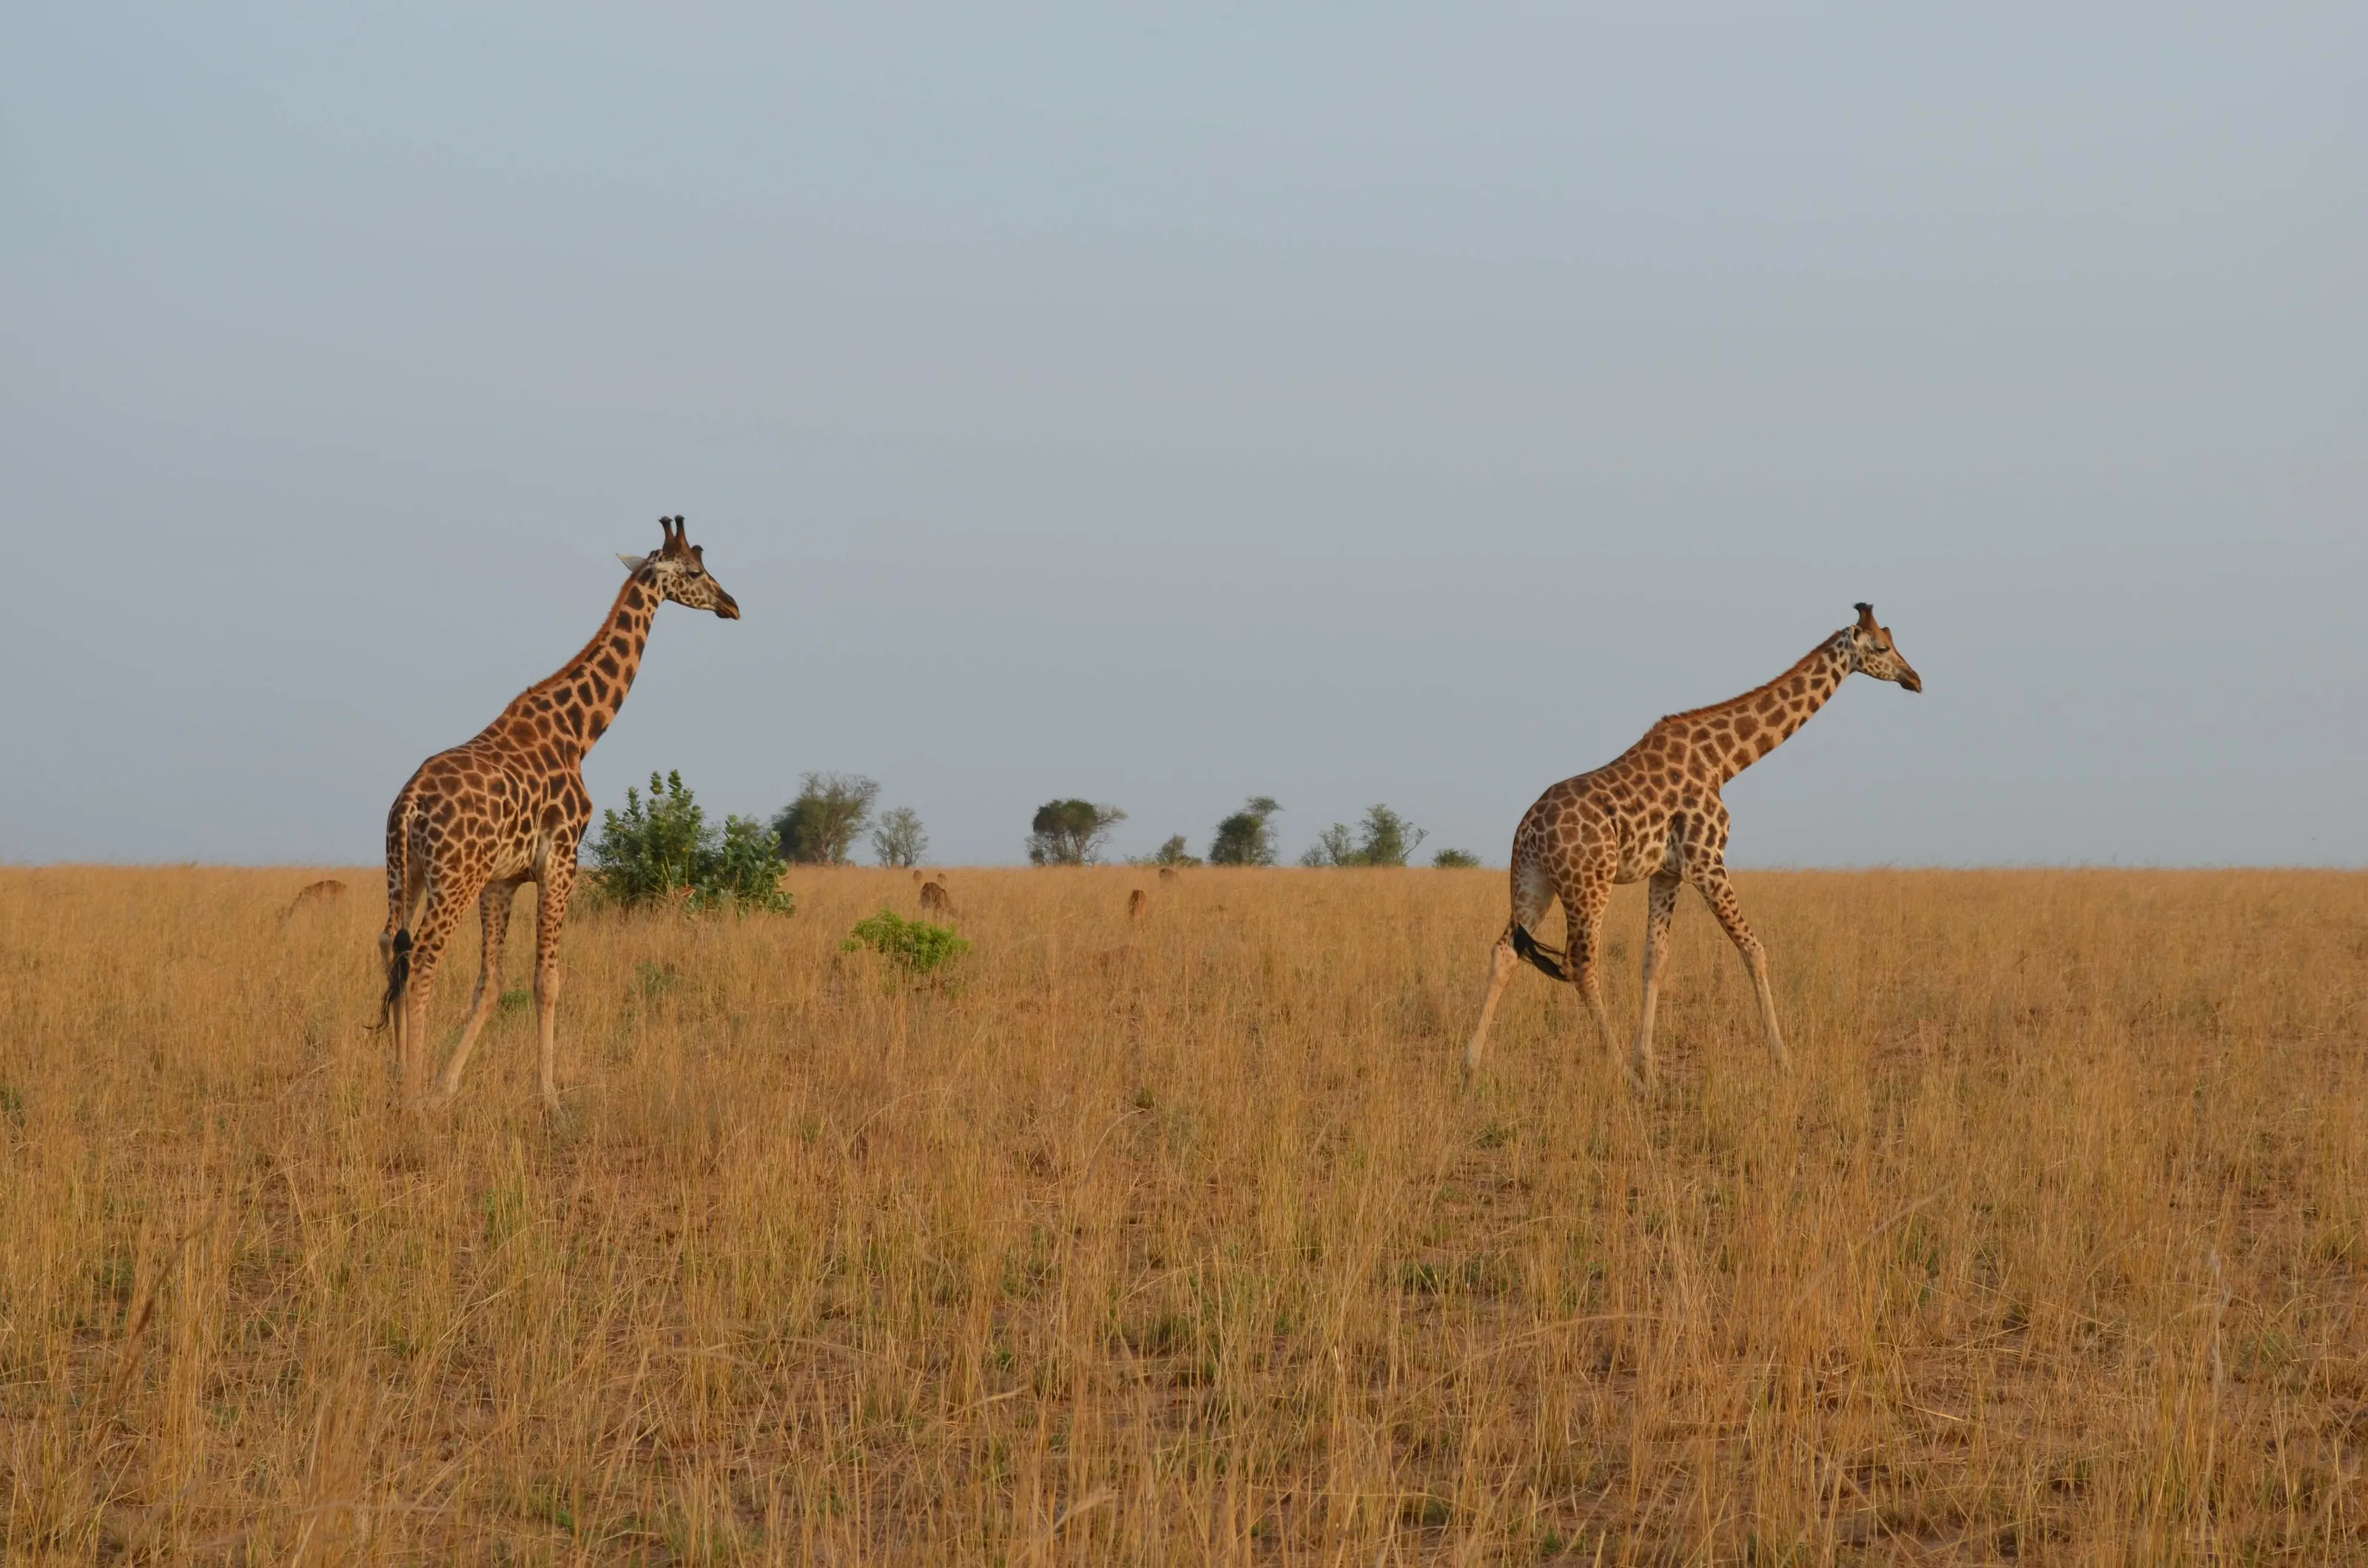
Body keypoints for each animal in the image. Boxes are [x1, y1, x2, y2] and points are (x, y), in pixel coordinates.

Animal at [377, 516, 740, 1109]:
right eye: (694, 571)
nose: (731, 605)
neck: (578, 733)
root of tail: (409, 804)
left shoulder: (502, 879)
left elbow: (492, 983)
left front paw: (447, 1085)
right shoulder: (562, 859)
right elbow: (547, 979)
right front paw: (549, 1094)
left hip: (402, 871)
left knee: (392, 943)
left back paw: (396, 1075)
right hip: (454, 878)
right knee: (425, 956)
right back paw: (408, 1089)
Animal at [1463, 603, 1921, 1089]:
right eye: (1882, 647)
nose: (1915, 679)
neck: (1723, 761)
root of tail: (1526, 830)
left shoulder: (1667, 872)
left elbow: (1655, 959)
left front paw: (1647, 1061)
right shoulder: (1707, 860)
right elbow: (1754, 949)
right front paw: (1782, 1058)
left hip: (1535, 883)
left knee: (1505, 952)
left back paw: (1471, 1063)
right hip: (1588, 884)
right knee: (1581, 964)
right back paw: (1623, 1075)